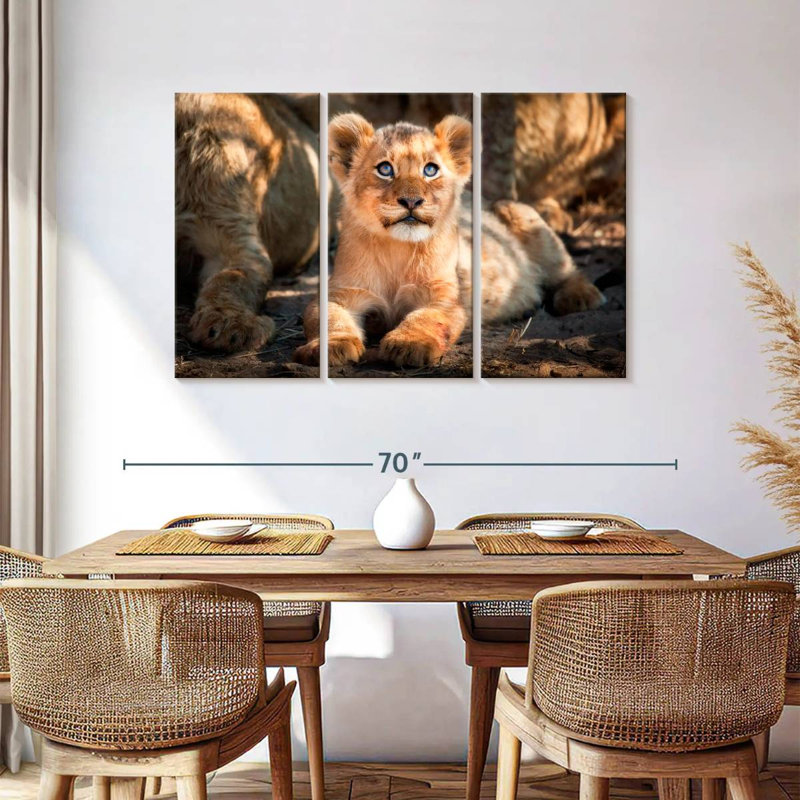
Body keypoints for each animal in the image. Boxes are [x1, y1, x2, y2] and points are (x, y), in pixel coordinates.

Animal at [295, 112, 603, 370]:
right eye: (385, 169)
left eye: (430, 170)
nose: (411, 201)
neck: (397, 250)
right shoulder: (343, 292)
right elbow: (327, 317)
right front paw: (330, 347)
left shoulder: (444, 297)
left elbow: (425, 318)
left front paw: (408, 345)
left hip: (525, 218)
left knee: (566, 269)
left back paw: (578, 297)